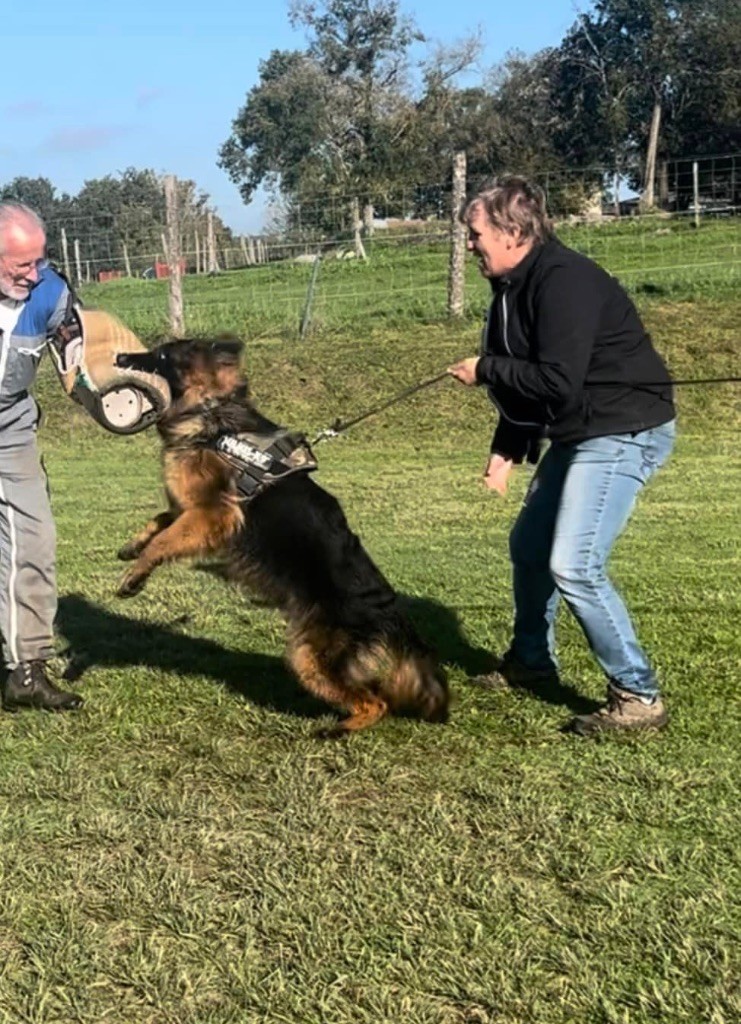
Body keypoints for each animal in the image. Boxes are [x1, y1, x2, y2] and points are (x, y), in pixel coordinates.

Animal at [115, 342, 446, 737]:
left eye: (162, 355)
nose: (120, 358)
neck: (209, 412)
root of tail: (391, 611)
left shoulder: (215, 515)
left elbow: (164, 541)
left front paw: (134, 577)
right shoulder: (192, 512)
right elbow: (160, 524)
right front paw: (132, 547)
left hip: (309, 659)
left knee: (376, 703)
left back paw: (337, 729)